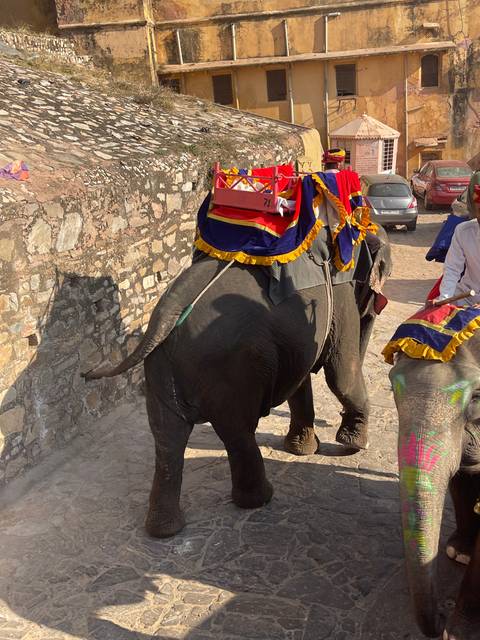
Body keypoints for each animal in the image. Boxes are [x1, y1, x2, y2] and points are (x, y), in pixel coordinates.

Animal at [84, 229, 390, 539]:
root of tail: (166, 316)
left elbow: (302, 379)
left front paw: (302, 449)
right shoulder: (339, 296)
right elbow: (341, 371)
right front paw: (353, 445)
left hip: (162, 371)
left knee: (168, 438)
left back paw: (165, 529)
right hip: (231, 370)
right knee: (237, 431)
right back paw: (259, 499)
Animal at [390, 344, 480, 640]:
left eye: (477, 397)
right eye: (391, 387)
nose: (442, 611)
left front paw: (456, 634)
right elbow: (461, 478)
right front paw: (459, 553)